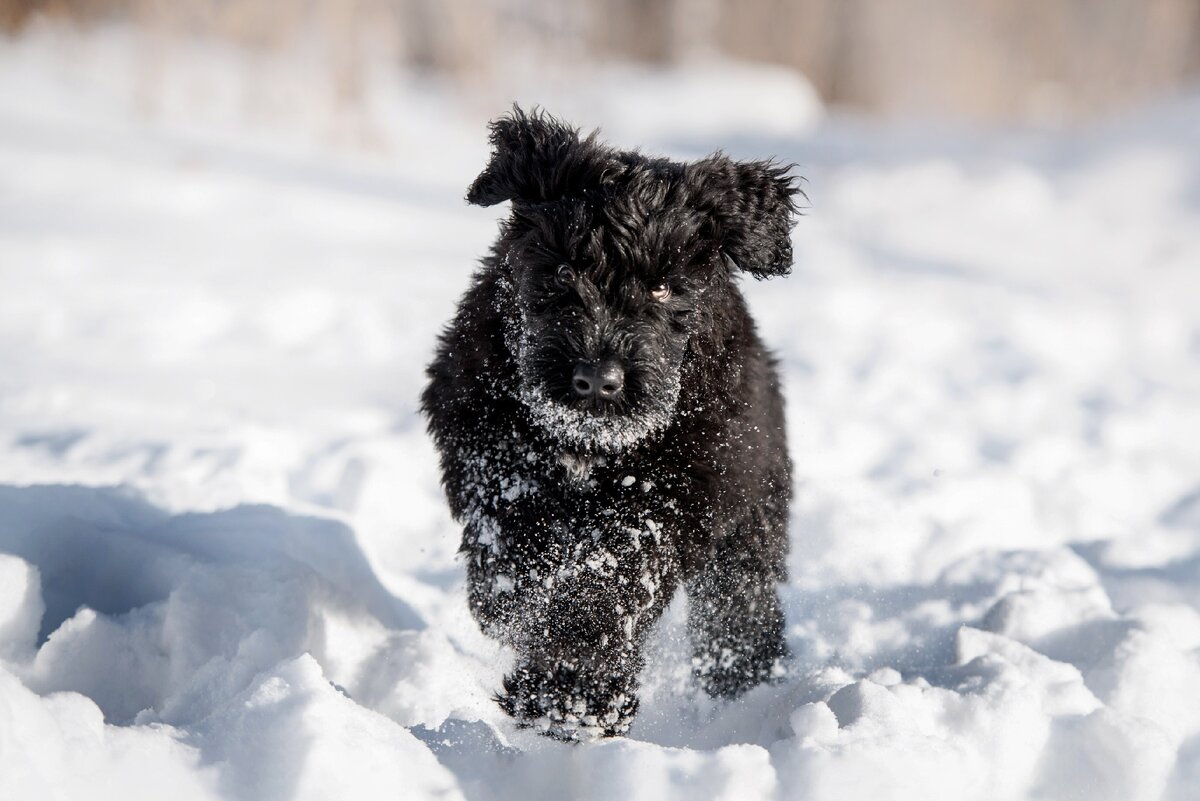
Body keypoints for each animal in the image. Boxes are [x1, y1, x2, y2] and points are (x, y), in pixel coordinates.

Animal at [417, 107, 801, 743]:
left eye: (664, 286)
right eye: (563, 269)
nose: (598, 379)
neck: (589, 447)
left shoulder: (675, 493)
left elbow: (608, 579)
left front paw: (570, 694)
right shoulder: (485, 442)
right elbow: (513, 547)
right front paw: (514, 614)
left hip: (752, 516)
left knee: (740, 607)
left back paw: (746, 691)